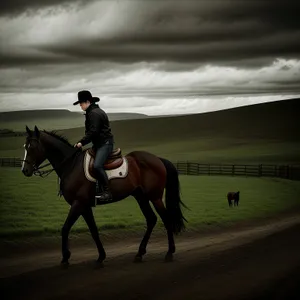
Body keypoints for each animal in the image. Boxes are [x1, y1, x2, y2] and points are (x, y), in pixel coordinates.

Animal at [21, 125, 186, 266]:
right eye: (24, 147)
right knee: (151, 219)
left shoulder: (78, 203)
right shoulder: (85, 206)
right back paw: (140, 253)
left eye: (32, 147)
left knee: (166, 219)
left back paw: (169, 252)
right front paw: (101, 256)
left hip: (155, 197)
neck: (71, 165)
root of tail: (158, 159)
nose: (25, 170)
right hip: (141, 197)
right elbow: (93, 230)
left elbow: (65, 228)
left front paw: (65, 257)